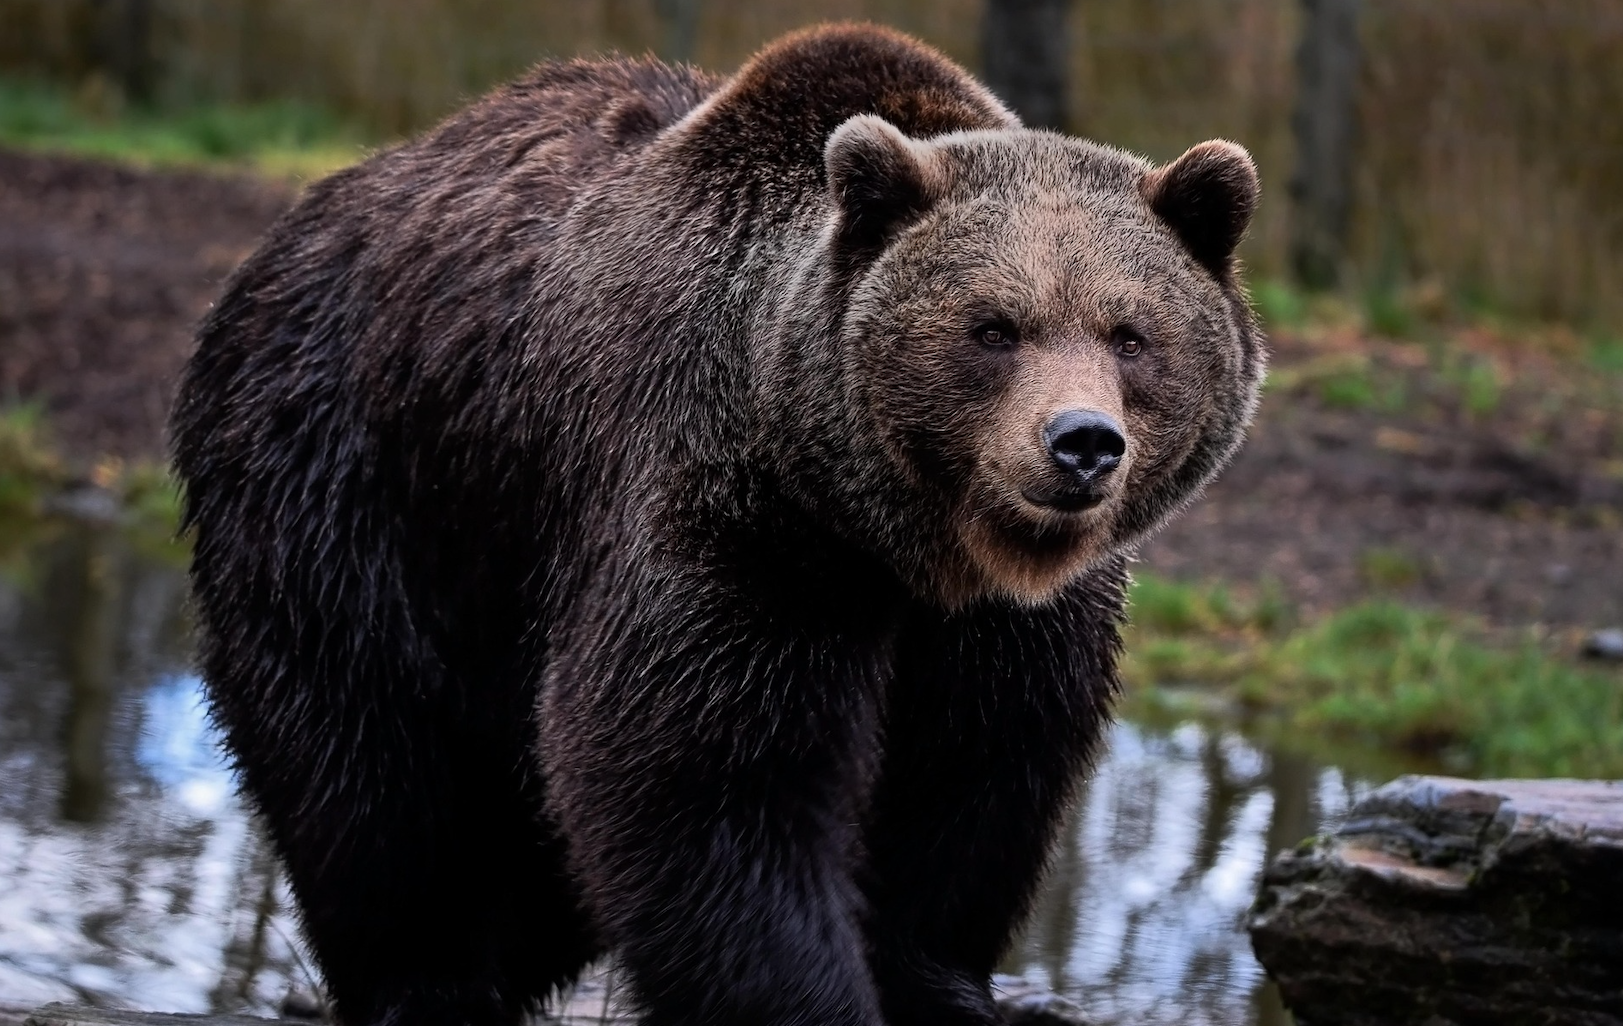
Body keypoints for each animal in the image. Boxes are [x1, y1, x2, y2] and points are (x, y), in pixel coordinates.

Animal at [170, 23, 1265, 1026]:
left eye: (1131, 334)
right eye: (993, 327)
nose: (1079, 444)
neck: (895, 539)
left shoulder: (1004, 625)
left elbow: (973, 777)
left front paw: (948, 987)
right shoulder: (730, 523)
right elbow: (709, 785)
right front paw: (814, 998)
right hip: (355, 477)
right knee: (370, 766)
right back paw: (428, 986)